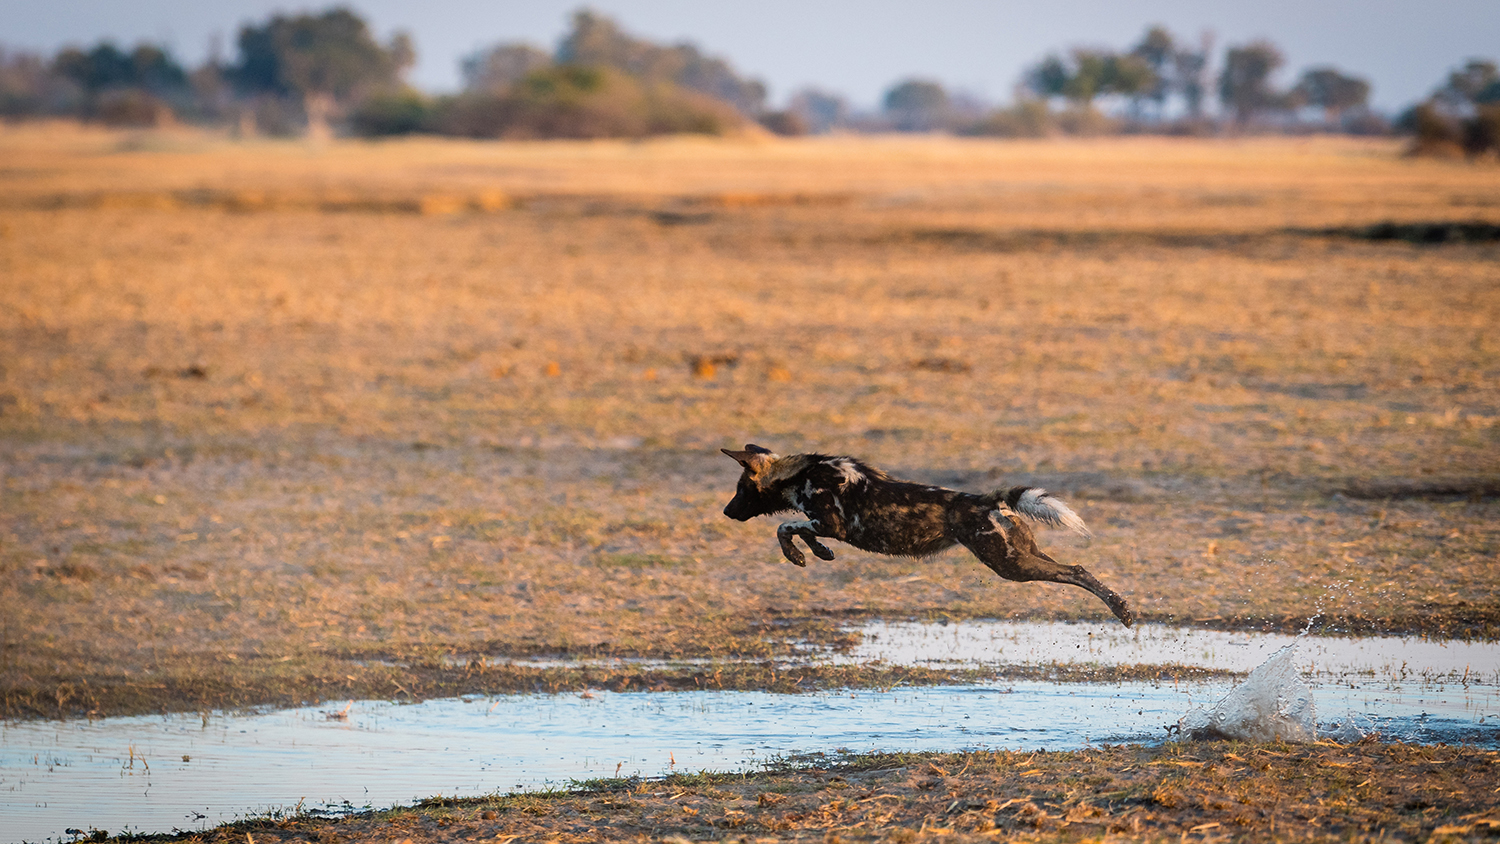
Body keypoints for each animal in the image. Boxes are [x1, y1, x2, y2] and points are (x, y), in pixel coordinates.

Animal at [720, 446, 1128, 623]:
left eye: (740, 488)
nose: (727, 511)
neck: (801, 473)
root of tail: (985, 499)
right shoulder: (824, 526)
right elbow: (800, 532)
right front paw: (818, 553)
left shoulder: (831, 523)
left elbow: (784, 527)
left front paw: (798, 554)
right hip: (1024, 555)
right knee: (1078, 569)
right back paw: (1121, 607)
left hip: (1011, 566)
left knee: (1075, 572)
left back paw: (1120, 611)